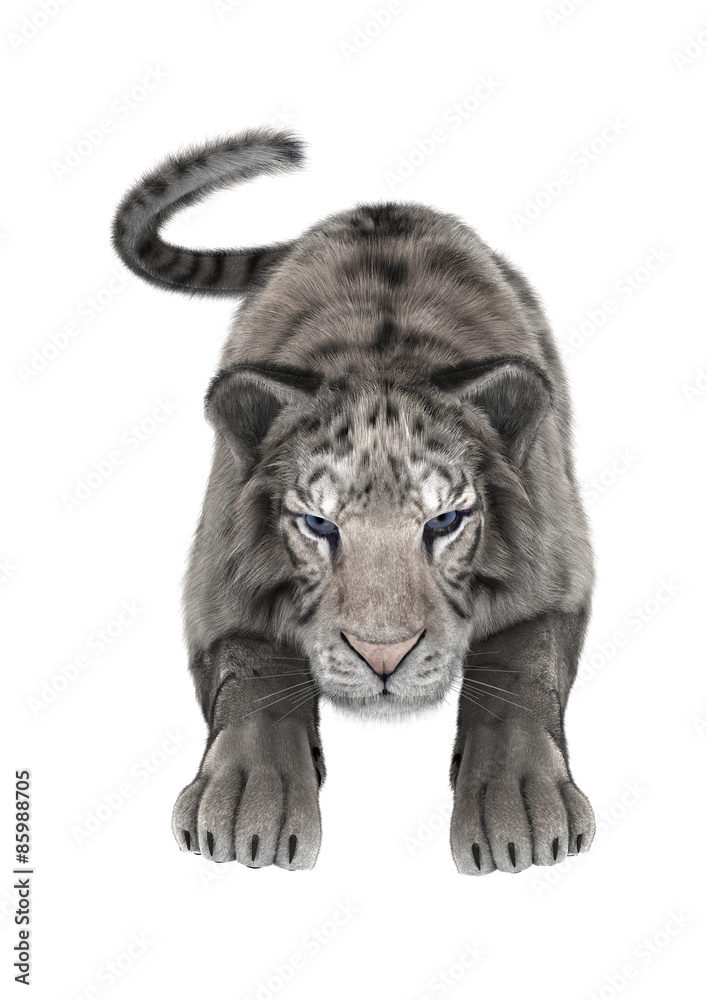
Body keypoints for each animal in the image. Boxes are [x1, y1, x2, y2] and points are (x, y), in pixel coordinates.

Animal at [112, 127, 596, 874]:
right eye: (318, 524)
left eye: (444, 521)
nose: (383, 655)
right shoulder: (215, 585)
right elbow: (253, 667)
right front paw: (248, 806)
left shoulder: (559, 570)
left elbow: (521, 667)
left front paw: (519, 810)